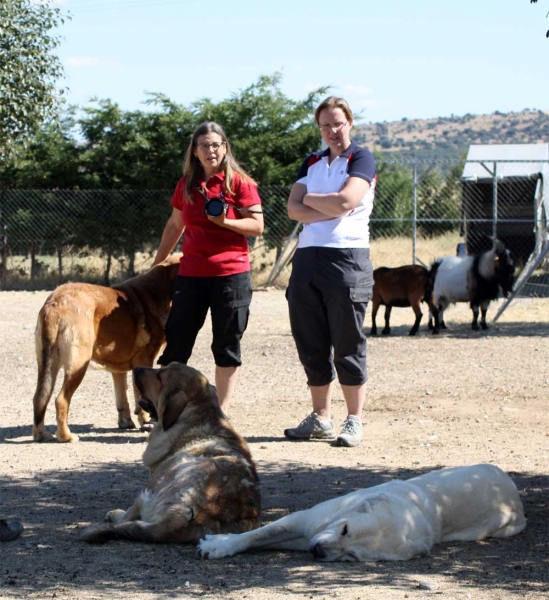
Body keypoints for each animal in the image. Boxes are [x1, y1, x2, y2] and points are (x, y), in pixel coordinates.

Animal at [32, 255, 180, 442]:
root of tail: (55, 304)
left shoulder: (119, 370)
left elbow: (122, 398)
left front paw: (126, 422)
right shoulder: (144, 361)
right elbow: (140, 396)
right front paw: (146, 421)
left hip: (47, 365)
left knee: (39, 398)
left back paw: (41, 434)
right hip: (79, 364)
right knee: (61, 400)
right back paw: (67, 436)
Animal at [78, 360, 262, 544]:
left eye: (160, 376)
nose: (137, 368)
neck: (199, 413)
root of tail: (199, 514)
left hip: (155, 485)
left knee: (131, 514)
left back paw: (115, 515)